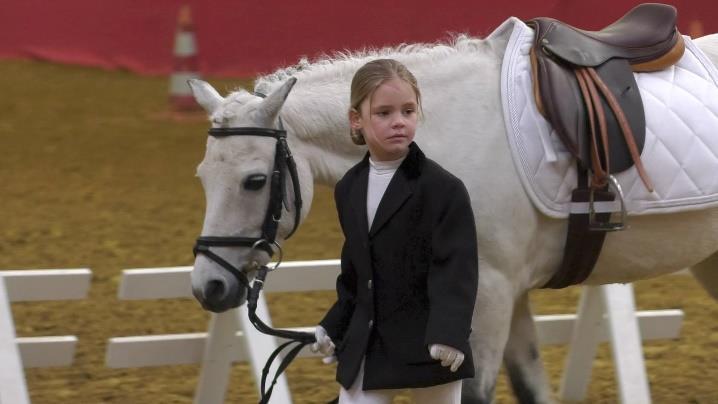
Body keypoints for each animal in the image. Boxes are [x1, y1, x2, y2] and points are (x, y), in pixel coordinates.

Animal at [188, 19, 718, 404]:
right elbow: (529, 385)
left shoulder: (490, 295)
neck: (446, 129)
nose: (208, 287)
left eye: (255, 180)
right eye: (202, 177)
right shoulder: (510, 296)